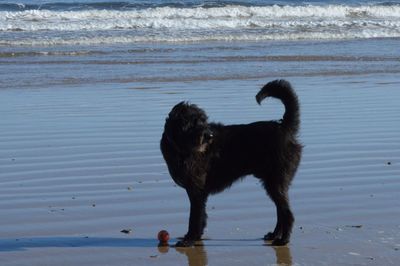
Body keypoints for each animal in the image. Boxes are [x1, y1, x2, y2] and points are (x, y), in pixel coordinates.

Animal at [161, 79, 302, 247]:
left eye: (203, 120)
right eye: (191, 122)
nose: (209, 136)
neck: (183, 150)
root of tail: (284, 128)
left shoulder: (196, 191)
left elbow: (195, 217)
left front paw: (190, 239)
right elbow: (200, 216)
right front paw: (195, 236)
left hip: (276, 182)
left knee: (286, 213)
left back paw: (283, 240)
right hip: (273, 183)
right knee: (281, 211)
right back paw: (274, 235)